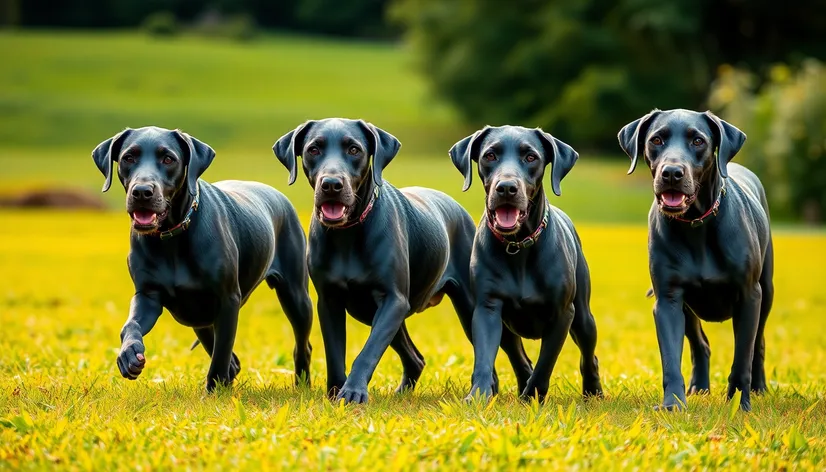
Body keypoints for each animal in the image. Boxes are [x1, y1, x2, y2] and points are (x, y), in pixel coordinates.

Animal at [91, 125, 312, 390]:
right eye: (128, 157)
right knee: (230, 358)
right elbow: (131, 324)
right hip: (198, 317)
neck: (171, 237)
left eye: (168, 159)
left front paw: (215, 389)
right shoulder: (148, 296)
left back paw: (302, 384)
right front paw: (129, 354)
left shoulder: (228, 300)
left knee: (302, 345)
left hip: (296, 296)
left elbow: (221, 354)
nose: (142, 192)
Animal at [270, 117, 528, 402]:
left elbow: (367, 352)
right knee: (416, 358)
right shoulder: (330, 301)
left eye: (354, 149)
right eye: (313, 149)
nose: (332, 185)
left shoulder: (393, 300)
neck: (348, 233)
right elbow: (336, 354)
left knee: (516, 356)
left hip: (475, 306)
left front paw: (353, 392)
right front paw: (335, 393)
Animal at [448, 123, 600, 400]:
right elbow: (485, 357)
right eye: (489, 155)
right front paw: (478, 395)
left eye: (531, 157)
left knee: (588, 355)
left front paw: (533, 396)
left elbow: (545, 363)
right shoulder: (487, 308)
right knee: (518, 356)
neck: (517, 246)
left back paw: (593, 391)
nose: (507, 187)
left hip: (584, 316)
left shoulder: (563, 314)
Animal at [616, 109, 772, 412]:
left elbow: (742, 356)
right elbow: (670, 358)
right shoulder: (668, 300)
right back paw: (699, 386)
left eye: (698, 140)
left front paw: (739, 403)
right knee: (701, 344)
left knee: (757, 343)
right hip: (688, 307)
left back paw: (759, 388)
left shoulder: (749, 296)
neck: (695, 225)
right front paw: (673, 404)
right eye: (656, 139)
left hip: (766, 291)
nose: (672, 173)